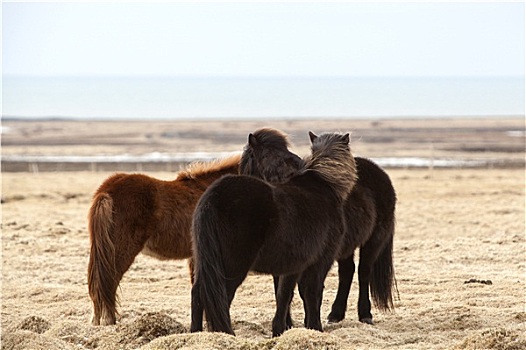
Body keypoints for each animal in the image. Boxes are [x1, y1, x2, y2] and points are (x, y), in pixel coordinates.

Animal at [191, 129, 358, 336]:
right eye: (268, 154)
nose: (297, 166)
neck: (325, 184)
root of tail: (213, 197)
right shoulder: (321, 260)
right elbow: (312, 293)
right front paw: (314, 327)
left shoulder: (294, 265)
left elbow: (285, 294)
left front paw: (281, 329)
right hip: (232, 266)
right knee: (220, 296)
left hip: (206, 261)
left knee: (197, 294)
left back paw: (195, 333)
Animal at [241, 129, 398, 328]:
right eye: (266, 154)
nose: (297, 173)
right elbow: (282, 290)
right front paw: (289, 324)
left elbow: (306, 289)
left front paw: (310, 324)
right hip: (345, 248)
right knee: (347, 272)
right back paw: (335, 314)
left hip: (374, 240)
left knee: (364, 272)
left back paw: (365, 315)